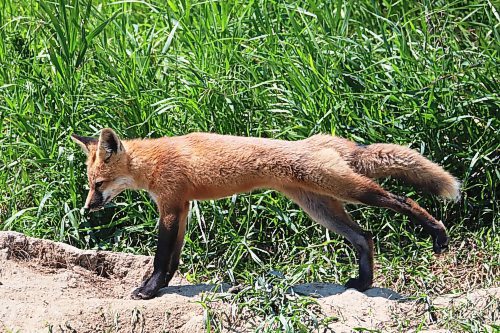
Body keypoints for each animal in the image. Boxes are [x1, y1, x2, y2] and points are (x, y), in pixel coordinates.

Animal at [71, 127, 460, 298]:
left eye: (98, 184)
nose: (87, 207)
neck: (152, 162)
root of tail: (324, 140)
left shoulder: (170, 207)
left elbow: (160, 258)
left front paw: (149, 290)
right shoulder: (181, 208)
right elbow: (173, 260)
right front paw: (160, 287)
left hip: (349, 190)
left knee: (403, 202)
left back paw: (438, 232)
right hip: (321, 207)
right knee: (364, 237)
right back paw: (362, 283)